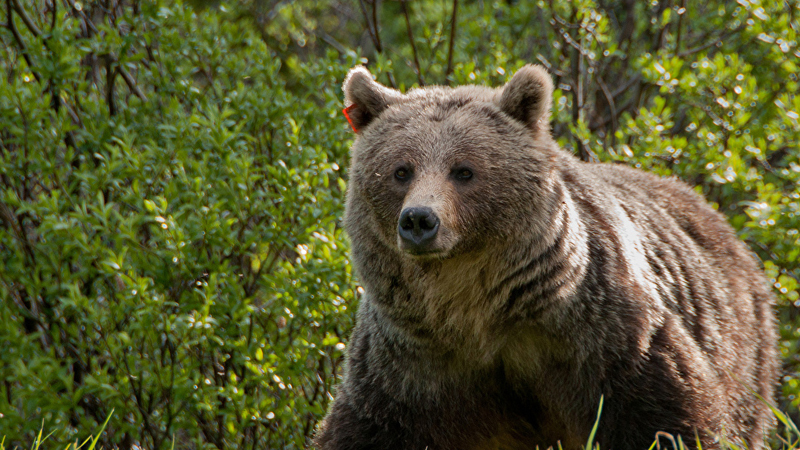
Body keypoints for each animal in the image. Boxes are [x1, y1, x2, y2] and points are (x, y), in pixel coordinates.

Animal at [316, 64, 780, 450]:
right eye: (401, 170)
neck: (476, 312)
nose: (418, 220)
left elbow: (666, 419)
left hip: (742, 347)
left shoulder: (603, 338)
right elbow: (367, 429)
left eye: (464, 170)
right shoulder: (410, 368)